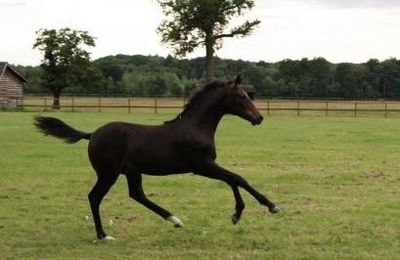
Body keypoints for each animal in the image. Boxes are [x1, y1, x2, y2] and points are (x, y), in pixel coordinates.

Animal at [34, 75, 280, 242]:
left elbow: (233, 180)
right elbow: (238, 178)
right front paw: (270, 206)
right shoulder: (202, 165)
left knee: (137, 195)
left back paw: (174, 220)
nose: (259, 118)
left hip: (132, 171)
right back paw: (103, 235)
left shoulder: (206, 166)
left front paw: (237, 214)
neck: (195, 127)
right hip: (108, 173)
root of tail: (92, 134)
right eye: (242, 96)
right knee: (95, 197)